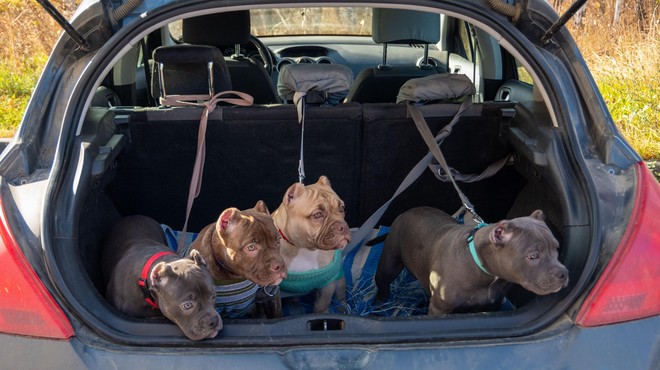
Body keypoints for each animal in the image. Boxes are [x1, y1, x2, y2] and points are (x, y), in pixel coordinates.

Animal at [272, 176, 354, 312]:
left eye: (342, 209)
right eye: (317, 214)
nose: (343, 226)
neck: (303, 248)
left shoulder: (327, 284)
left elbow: (322, 303)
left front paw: (322, 312)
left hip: (340, 281)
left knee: (341, 295)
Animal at [374, 208, 568, 316]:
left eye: (557, 249)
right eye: (533, 256)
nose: (564, 273)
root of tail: (409, 211)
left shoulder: (493, 305)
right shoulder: (439, 309)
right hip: (389, 264)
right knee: (383, 283)